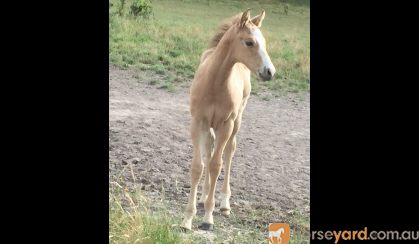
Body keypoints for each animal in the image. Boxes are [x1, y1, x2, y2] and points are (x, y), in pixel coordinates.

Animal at [180, 9, 276, 231]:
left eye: (264, 42)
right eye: (249, 42)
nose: (270, 72)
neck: (214, 83)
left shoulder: (226, 125)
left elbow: (217, 165)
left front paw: (208, 217)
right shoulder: (198, 123)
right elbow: (198, 166)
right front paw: (188, 219)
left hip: (237, 121)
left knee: (229, 152)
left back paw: (223, 203)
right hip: (210, 127)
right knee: (209, 150)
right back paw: (204, 196)